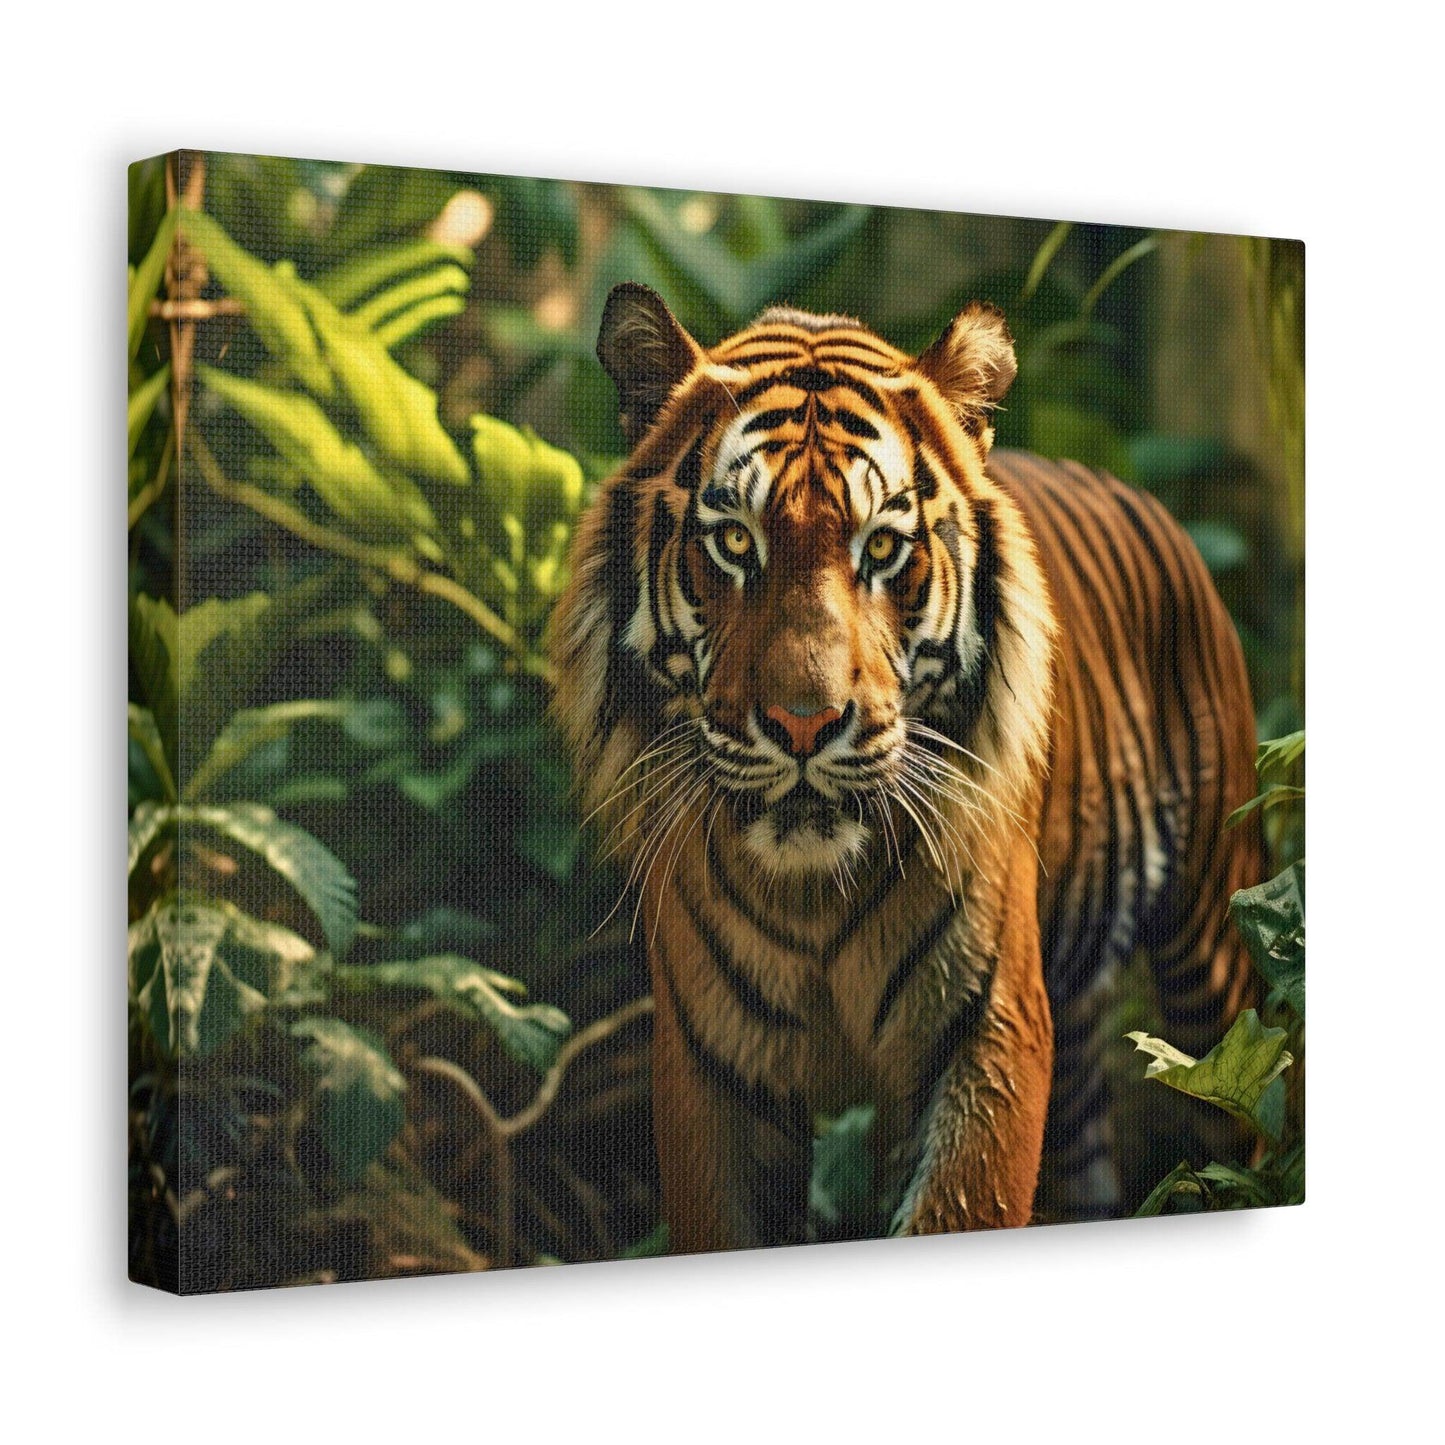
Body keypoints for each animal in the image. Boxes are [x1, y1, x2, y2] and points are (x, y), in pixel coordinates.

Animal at [549, 282, 1262, 1251]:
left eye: (881, 549)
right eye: (733, 542)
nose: (803, 724)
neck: (812, 896)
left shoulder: (985, 1035)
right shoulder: (710, 1066)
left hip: (1213, 947)